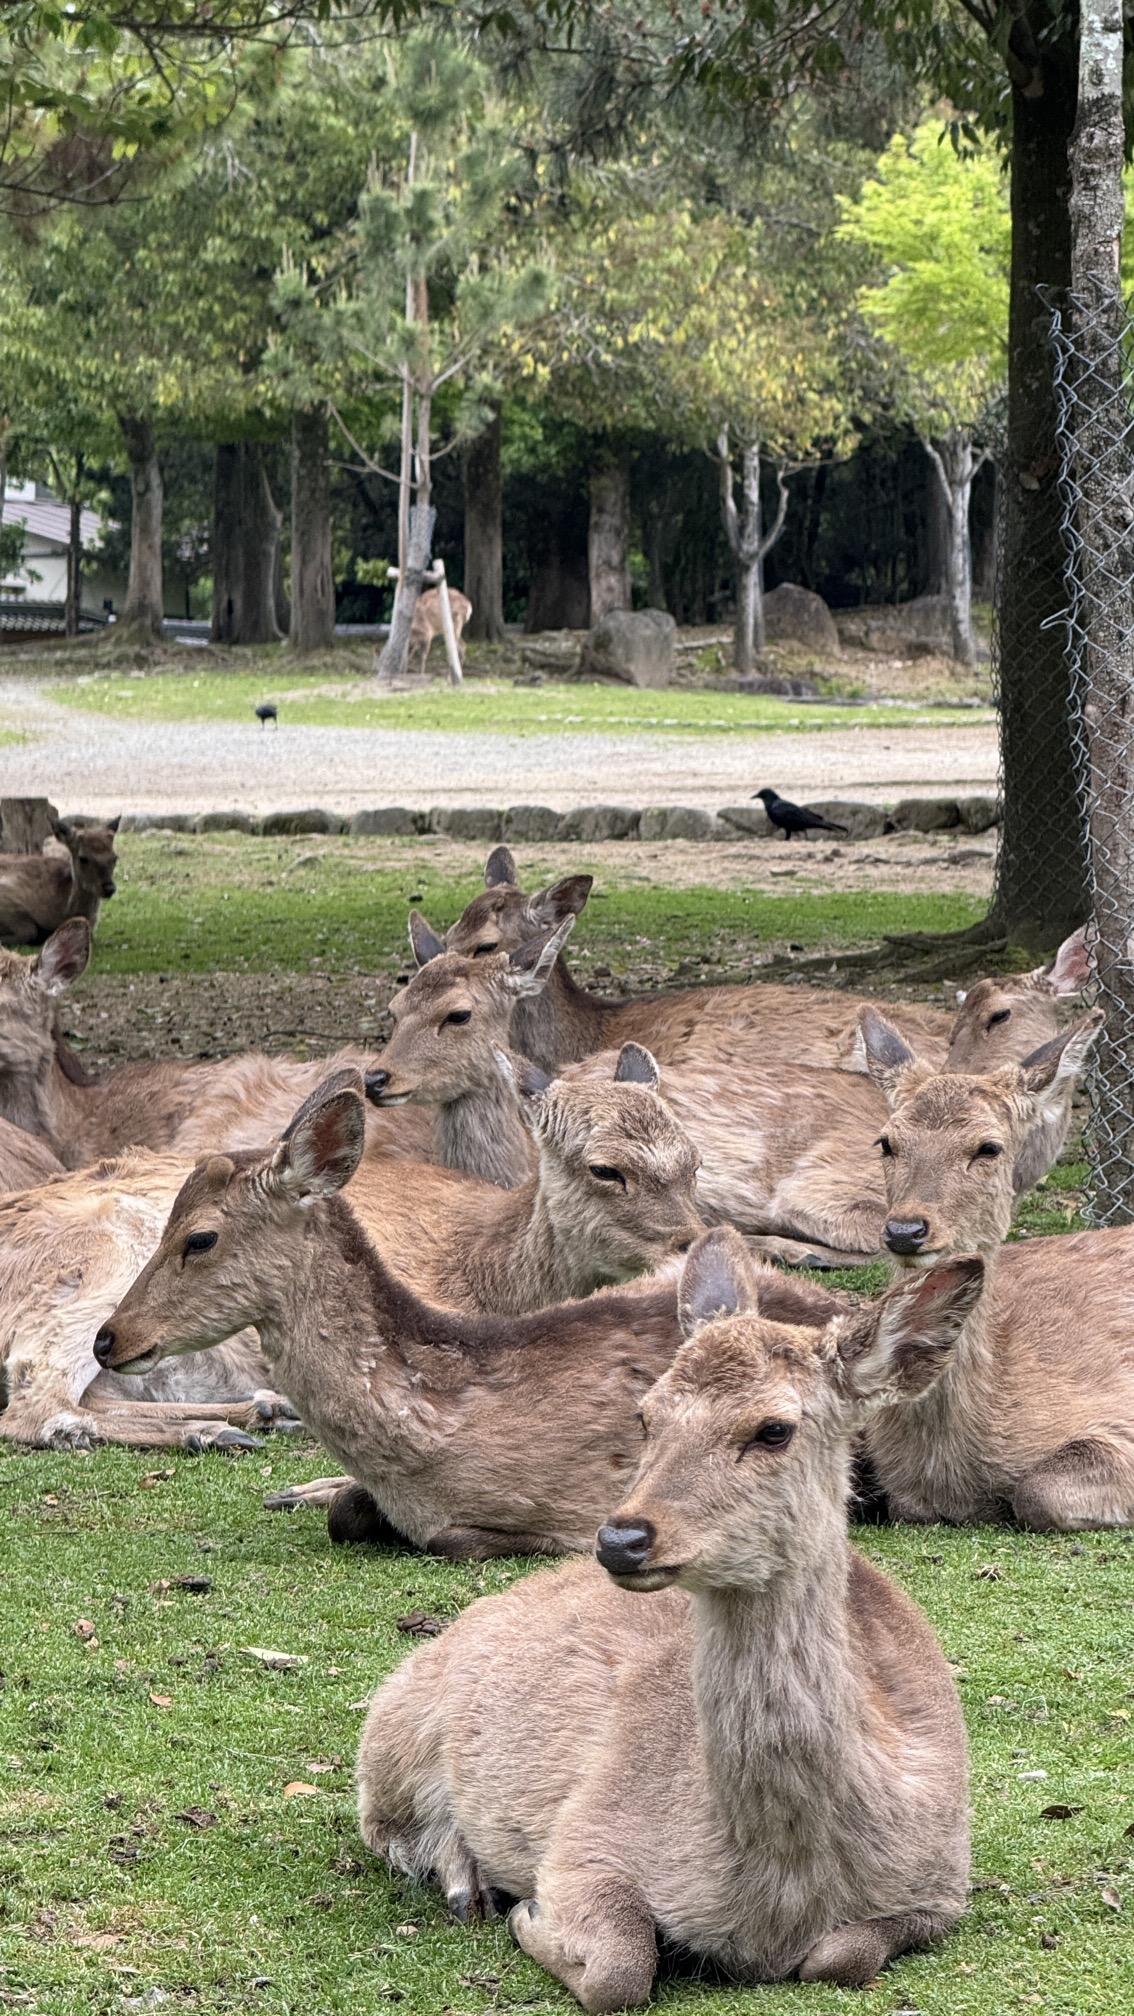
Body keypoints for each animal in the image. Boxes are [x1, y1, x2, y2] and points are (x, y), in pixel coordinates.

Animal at [355, 1228, 977, 2007]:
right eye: (645, 1414)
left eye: (774, 1429)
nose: (621, 1537)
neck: (781, 1896)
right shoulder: (587, 1836)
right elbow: (620, 1969)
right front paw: (529, 1918)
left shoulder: (946, 1883)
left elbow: (843, 1956)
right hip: (396, 1727)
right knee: (381, 1821)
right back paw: (467, 1883)